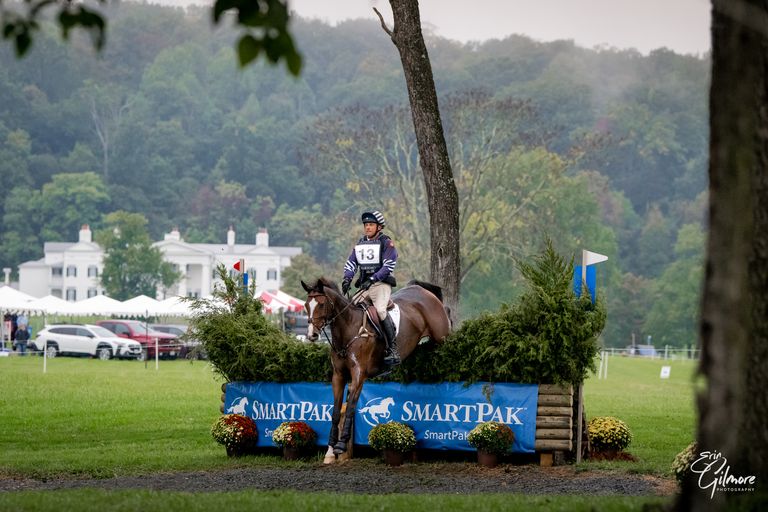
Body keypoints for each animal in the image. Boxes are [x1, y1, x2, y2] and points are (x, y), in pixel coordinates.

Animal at [300, 278, 450, 462]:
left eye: (321, 304)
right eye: (306, 305)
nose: (312, 335)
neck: (348, 329)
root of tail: (422, 290)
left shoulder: (359, 375)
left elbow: (350, 408)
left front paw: (341, 445)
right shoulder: (338, 376)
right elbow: (335, 412)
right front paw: (329, 452)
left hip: (442, 337)